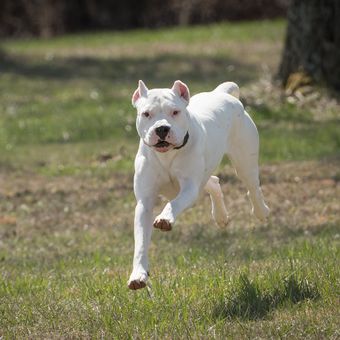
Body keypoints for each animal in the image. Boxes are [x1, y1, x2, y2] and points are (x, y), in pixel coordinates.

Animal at [127, 79, 268, 290]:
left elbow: (174, 203)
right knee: (214, 182)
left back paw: (261, 211)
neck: (167, 155)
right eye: (146, 114)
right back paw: (221, 216)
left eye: (175, 112)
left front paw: (165, 218)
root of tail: (221, 93)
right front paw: (138, 275)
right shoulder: (145, 202)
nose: (162, 129)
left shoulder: (189, 188)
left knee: (253, 187)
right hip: (205, 174)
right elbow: (141, 242)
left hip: (244, 162)